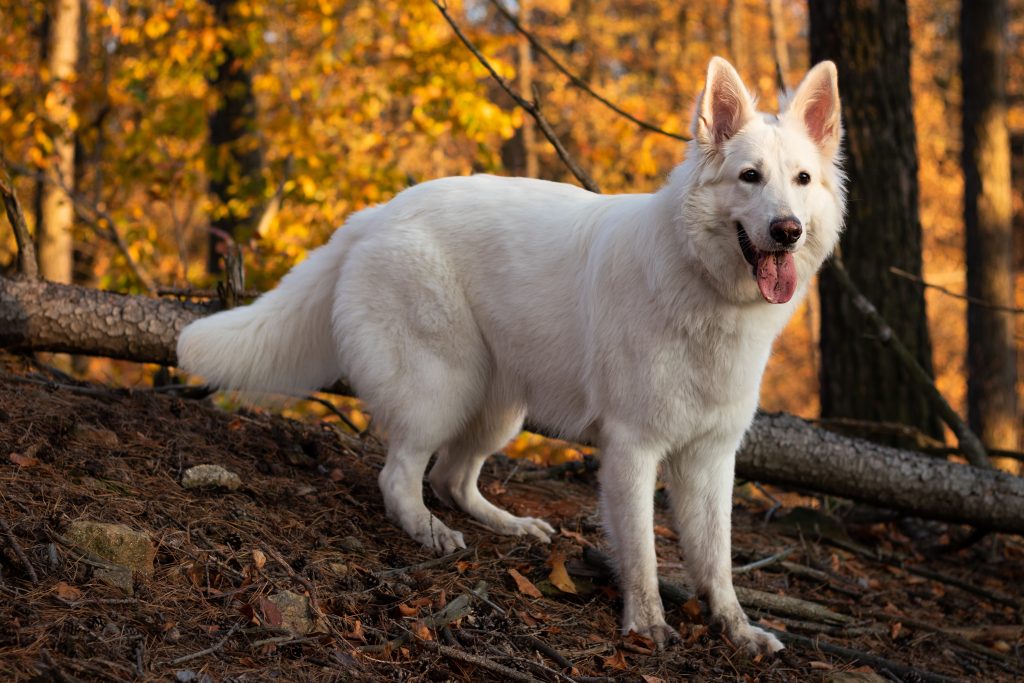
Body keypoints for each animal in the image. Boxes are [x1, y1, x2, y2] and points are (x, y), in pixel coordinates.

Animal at [178, 58, 847, 655]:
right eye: (749, 177)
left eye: (801, 180)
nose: (787, 230)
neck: (703, 283)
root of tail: (376, 213)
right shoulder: (633, 449)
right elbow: (643, 553)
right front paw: (647, 625)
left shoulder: (710, 458)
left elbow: (718, 562)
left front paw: (737, 630)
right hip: (441, 387)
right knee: (401, 476)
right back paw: (429, 531)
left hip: (499, 408)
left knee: (450, 476)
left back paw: (509, 525)